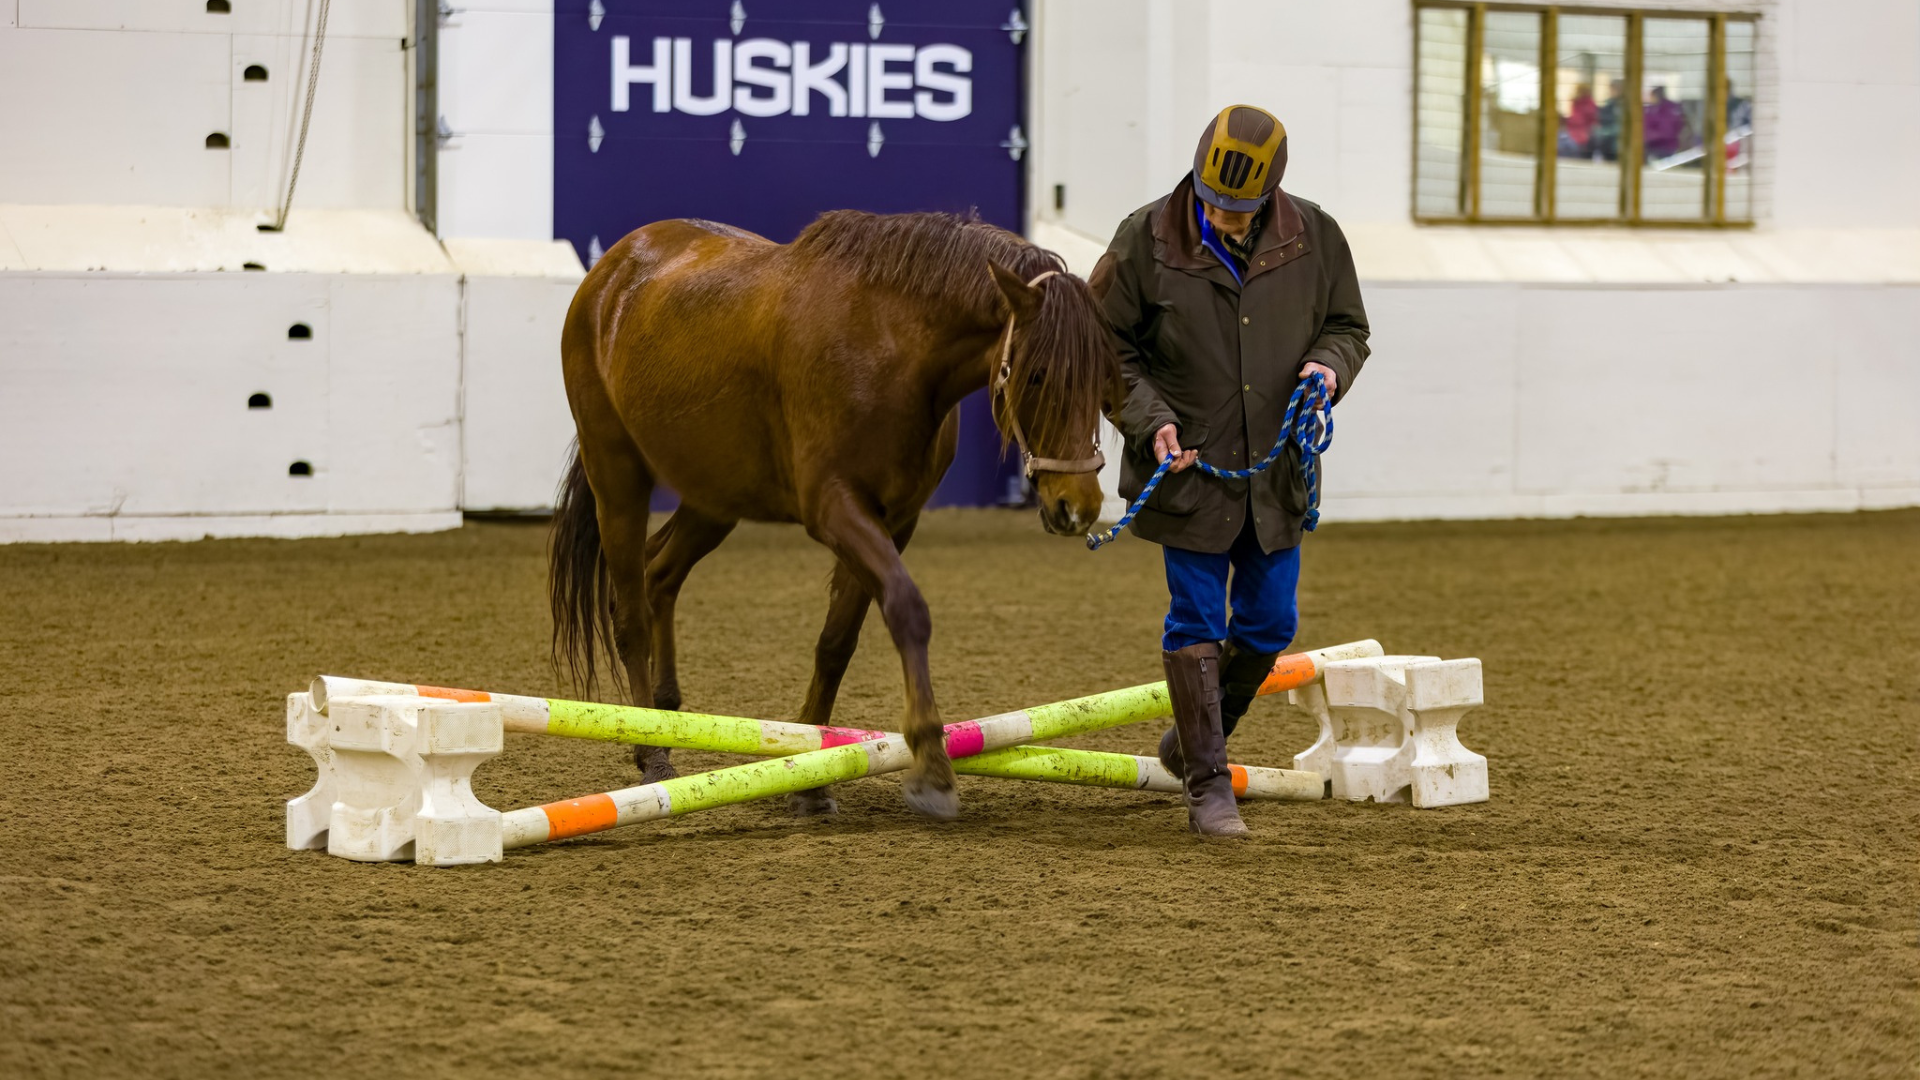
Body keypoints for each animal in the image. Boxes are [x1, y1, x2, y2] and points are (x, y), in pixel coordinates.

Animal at [549, 210, 1121, 814]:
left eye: (1105, 377)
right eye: (1037, 375)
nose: (1079, 506)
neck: (889, 349)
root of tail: (612, 270)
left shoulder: (894, 520)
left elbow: (837, 642)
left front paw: (811, 778)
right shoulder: (836, 509)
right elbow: (907, 609)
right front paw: (931, 768)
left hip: (715, 498)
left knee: (660, 574)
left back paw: (664, 713)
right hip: (617, 477)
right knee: (630, 611)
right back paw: (651, 752)